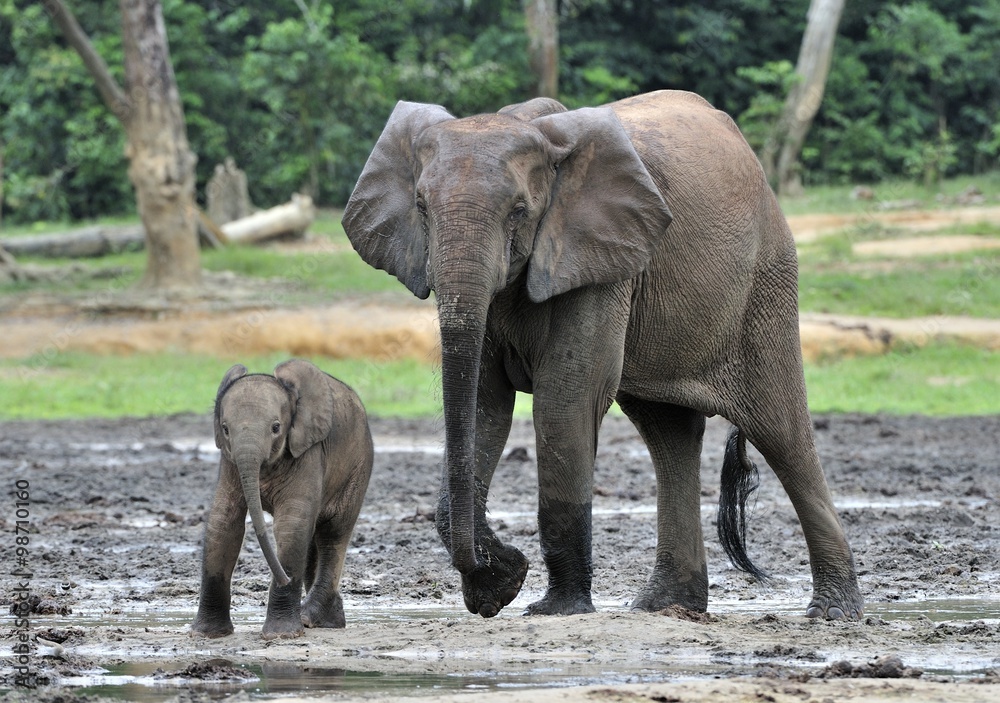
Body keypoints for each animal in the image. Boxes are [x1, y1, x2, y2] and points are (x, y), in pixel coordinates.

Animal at [190, 359, 374, 639]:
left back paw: (310, 618)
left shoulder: (308, 451)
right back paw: (325, 621)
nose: (284, 578)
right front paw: (205, 634)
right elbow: (223, 522)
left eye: (276, 428)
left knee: (332, 534)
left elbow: (291, 523)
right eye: (225, 429)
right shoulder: (229, 460)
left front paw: (281, 635)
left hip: (358, 467)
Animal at [342, 90, 862, 621]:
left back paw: (832, 612)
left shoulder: (596, 258)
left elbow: (564, 401)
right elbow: (486, 405)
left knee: (780, 431)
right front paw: (501, 584)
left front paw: (552, 607)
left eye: (519, 210)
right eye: (421, 208)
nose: (499, 572)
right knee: (669, 433)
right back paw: (663, 606)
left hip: (765, 284)